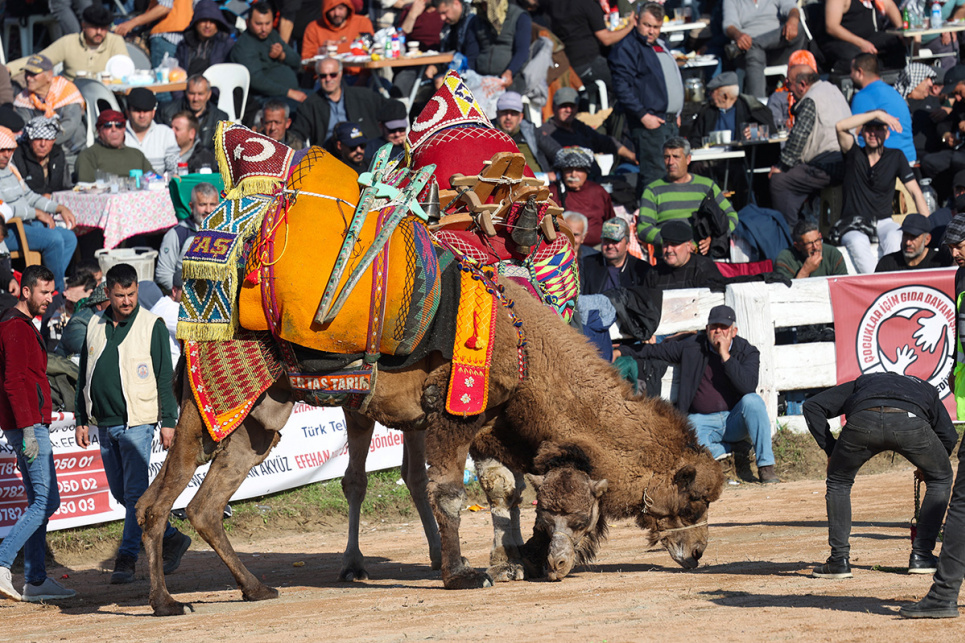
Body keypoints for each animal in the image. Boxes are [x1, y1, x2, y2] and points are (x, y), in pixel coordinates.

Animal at [137, 280, 724, 616]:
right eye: (692, 500)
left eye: (581, 519)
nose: (697, 553)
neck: (532, 359)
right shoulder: (455, 411)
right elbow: (461, 491)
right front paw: (468, 571)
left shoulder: (495, 429)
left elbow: (505, 489)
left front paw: (515, 559)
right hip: (216, 405)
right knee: (168, 500)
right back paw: (168, 602)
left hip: (257, 416)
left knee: (192, 502)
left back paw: (251, 589)